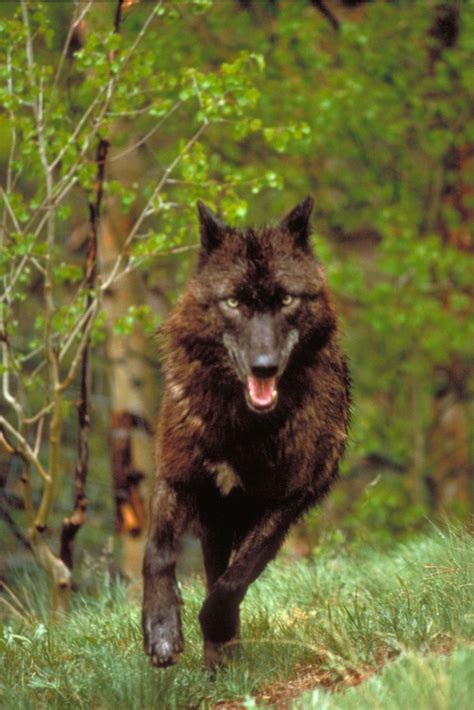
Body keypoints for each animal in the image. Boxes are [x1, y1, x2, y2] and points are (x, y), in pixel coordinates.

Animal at [142, 197, 351, 669]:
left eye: (287, 299)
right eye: (234, 301)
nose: (264, 366)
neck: (240, 426)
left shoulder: (285, 503)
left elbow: (234, 581)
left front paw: (216, 628)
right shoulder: (178, 478)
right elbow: (157, 553)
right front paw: (161, 630)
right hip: (216, 520)